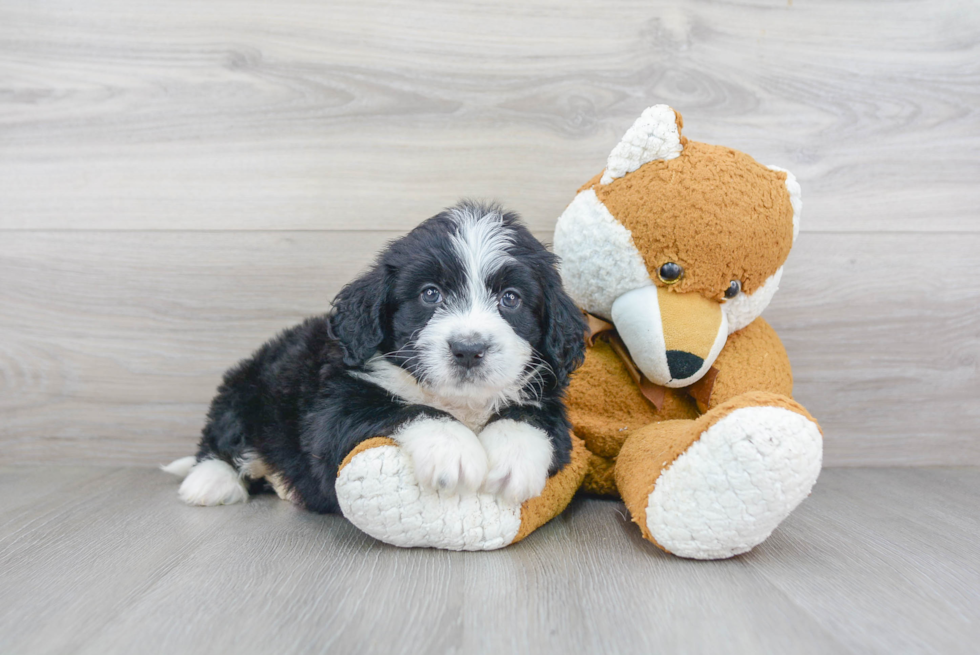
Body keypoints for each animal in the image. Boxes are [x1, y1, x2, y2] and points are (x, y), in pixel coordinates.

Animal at [165, 202, 584, 516]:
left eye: (511, 298)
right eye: (430, 293)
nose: (468, 349)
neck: (459, 402)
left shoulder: (551, 406)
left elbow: (530, 419)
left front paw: (514, 460)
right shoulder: (332, 413)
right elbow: (402, 407)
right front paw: (453, 449)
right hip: (246, 386)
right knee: (221, 438)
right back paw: (211, 481)